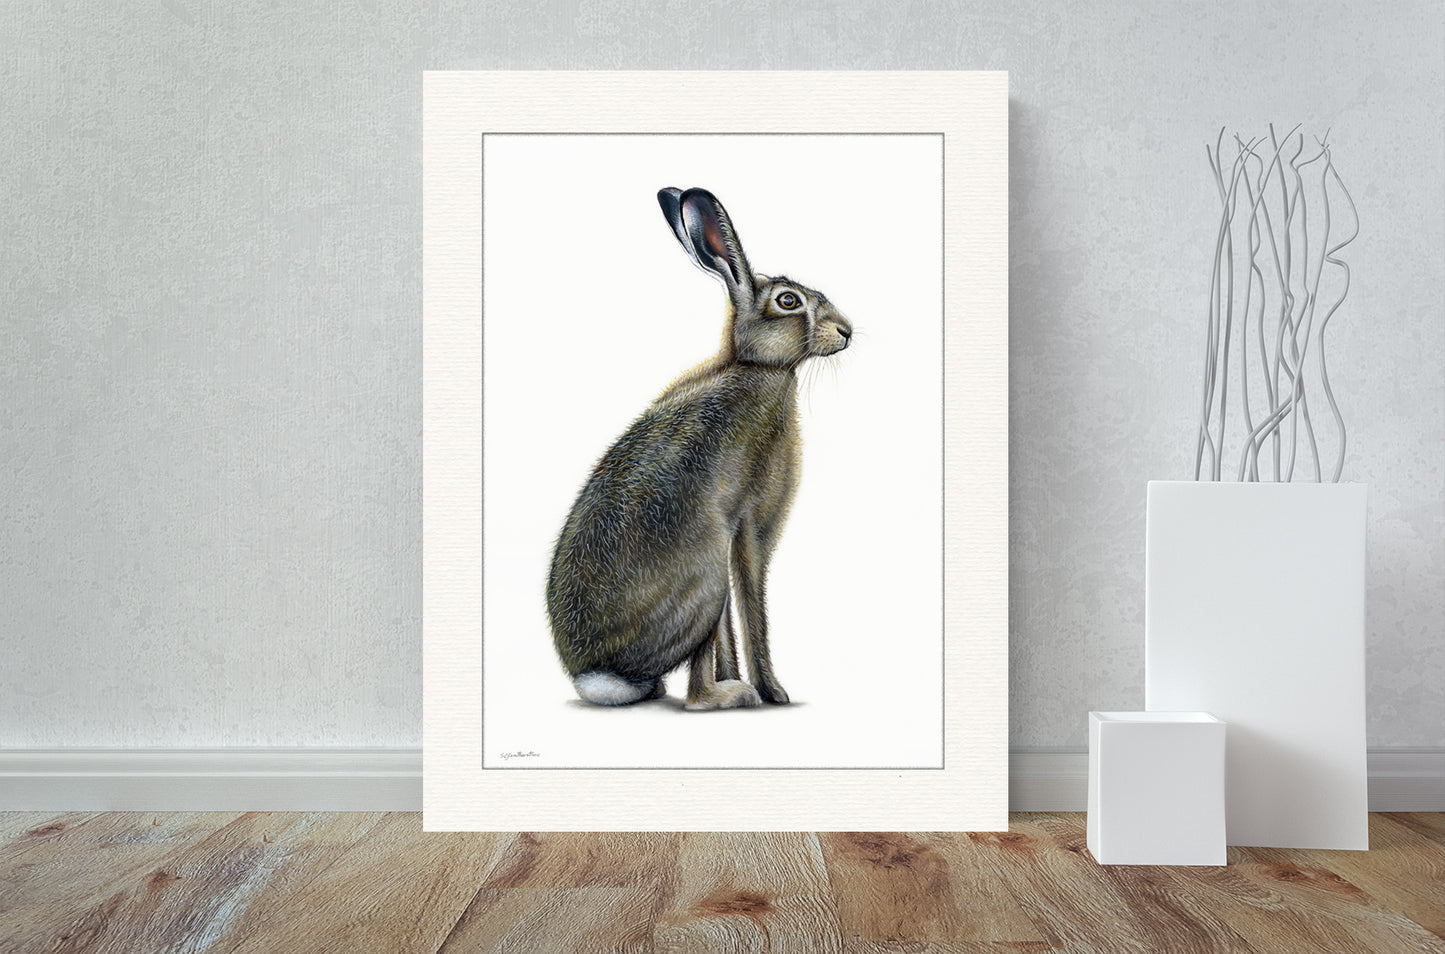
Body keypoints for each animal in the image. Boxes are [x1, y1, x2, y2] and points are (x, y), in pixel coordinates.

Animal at [546, 187, 853, 710]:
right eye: (788, 301)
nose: (847, 331)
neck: (758, 367)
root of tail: (599, 675)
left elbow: (732, 625)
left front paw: (750, 680)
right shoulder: (749, 524)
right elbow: (752, 604)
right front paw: (773, 691)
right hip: (704, 572)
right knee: (693, 694)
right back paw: (731, 696)